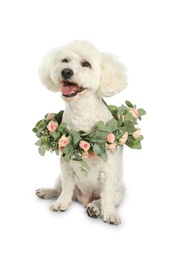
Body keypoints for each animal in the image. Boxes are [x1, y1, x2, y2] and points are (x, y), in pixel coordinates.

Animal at [35, 39, 127, 224]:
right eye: (64, 60)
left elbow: (107, 197)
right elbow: (66, 188)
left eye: (86, 64)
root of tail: (84, 198)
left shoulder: (109, 170)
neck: (81, 113)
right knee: (60, 188)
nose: (66, 71)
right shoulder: (66, 166)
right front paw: (61, 203)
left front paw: (110, 214)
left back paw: (94, 208)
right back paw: (48, 192)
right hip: (61, 178)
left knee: (103, 198)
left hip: (119, 192)